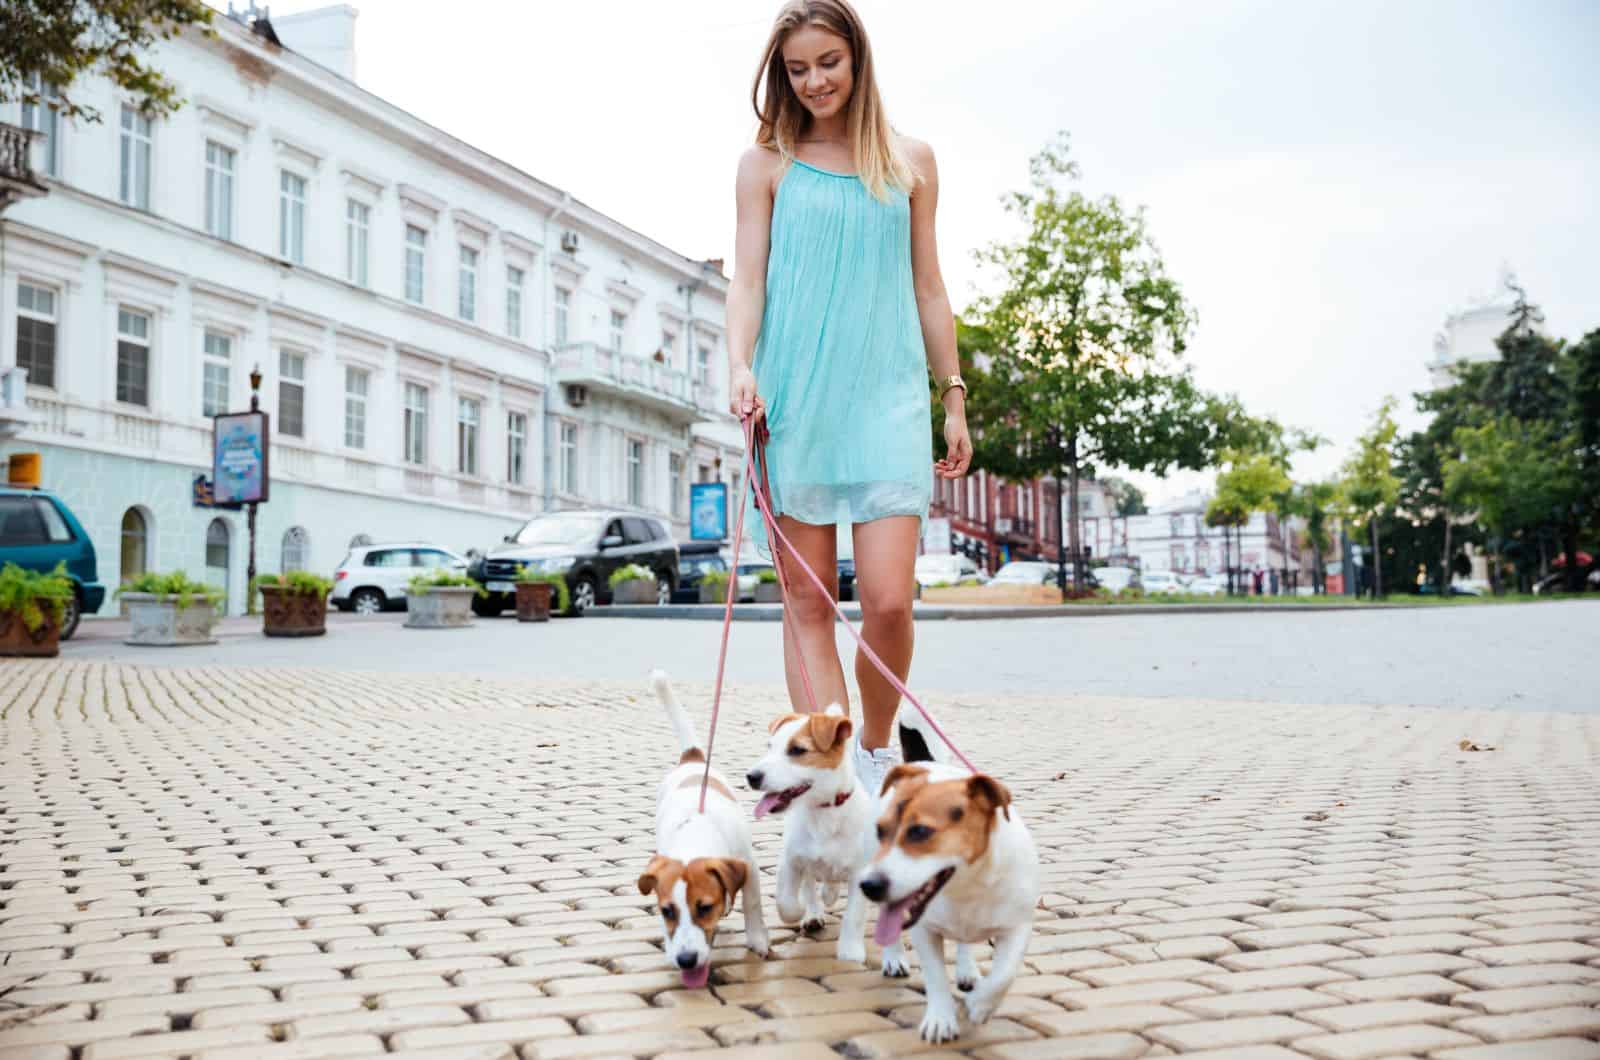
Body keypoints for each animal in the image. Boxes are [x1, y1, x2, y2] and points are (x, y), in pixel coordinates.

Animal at [636, 672, 768, 986]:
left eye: (705, 908)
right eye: (667, 911)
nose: (686, 960)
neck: (694, 834)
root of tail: (693, 758)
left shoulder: (750, 866)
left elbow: (753, 904)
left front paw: (758, 940)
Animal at [864, 765, 1036, 1043]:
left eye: (919, 831)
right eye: (880, 831)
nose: (868, 885)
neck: (966, 886)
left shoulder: (1018, 927)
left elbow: (1003, 975)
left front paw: (978, 1005)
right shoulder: (924, 930)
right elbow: (935, 977)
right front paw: (940, 1020)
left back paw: (967, 971)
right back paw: (894, 957)